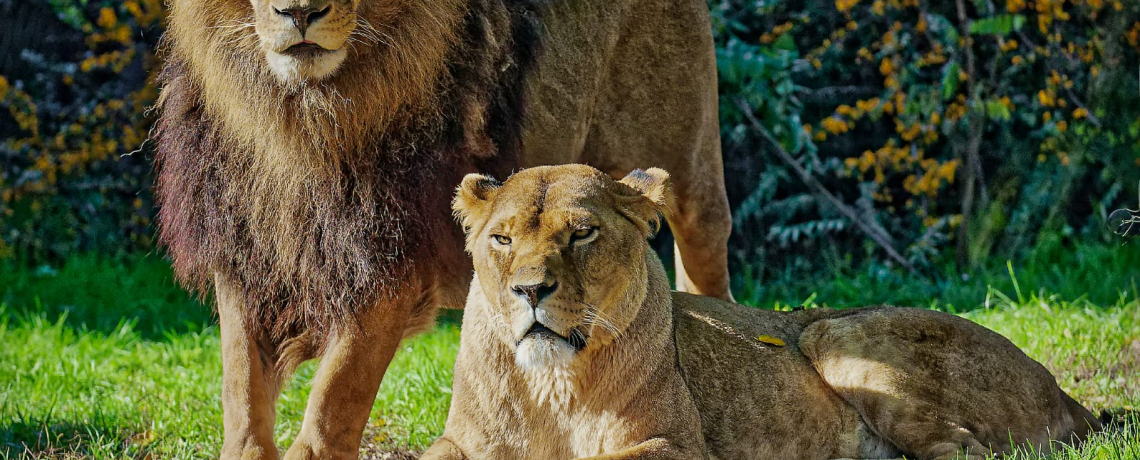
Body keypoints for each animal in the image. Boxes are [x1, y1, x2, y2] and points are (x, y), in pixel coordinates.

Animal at [151, 0, 729, 455]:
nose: (298, 12)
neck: (300, 120)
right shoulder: (244, 256)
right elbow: (242, 399)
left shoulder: (390, 267)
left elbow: (333, 405)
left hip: (688, 167)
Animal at [424, 165, 1098, 459]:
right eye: (502, 240)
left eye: (582, 233)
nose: (529, 291)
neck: (550, 387)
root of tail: (1064, 390)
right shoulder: (461, 443)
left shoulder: (673, 445)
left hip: (834, 331)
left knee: (964, 452)